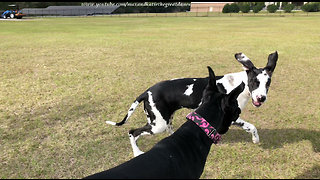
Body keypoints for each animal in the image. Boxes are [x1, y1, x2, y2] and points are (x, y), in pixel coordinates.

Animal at [107, 51, 278, 157]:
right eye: (254, 82)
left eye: (268, 83)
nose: (261, 98)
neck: (237, 84)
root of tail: (147, 91)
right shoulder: (231, 117)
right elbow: (252, 127)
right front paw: (256, 139)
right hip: (157, 125)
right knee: (132, 132)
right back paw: (137, 152)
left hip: (166, 119)